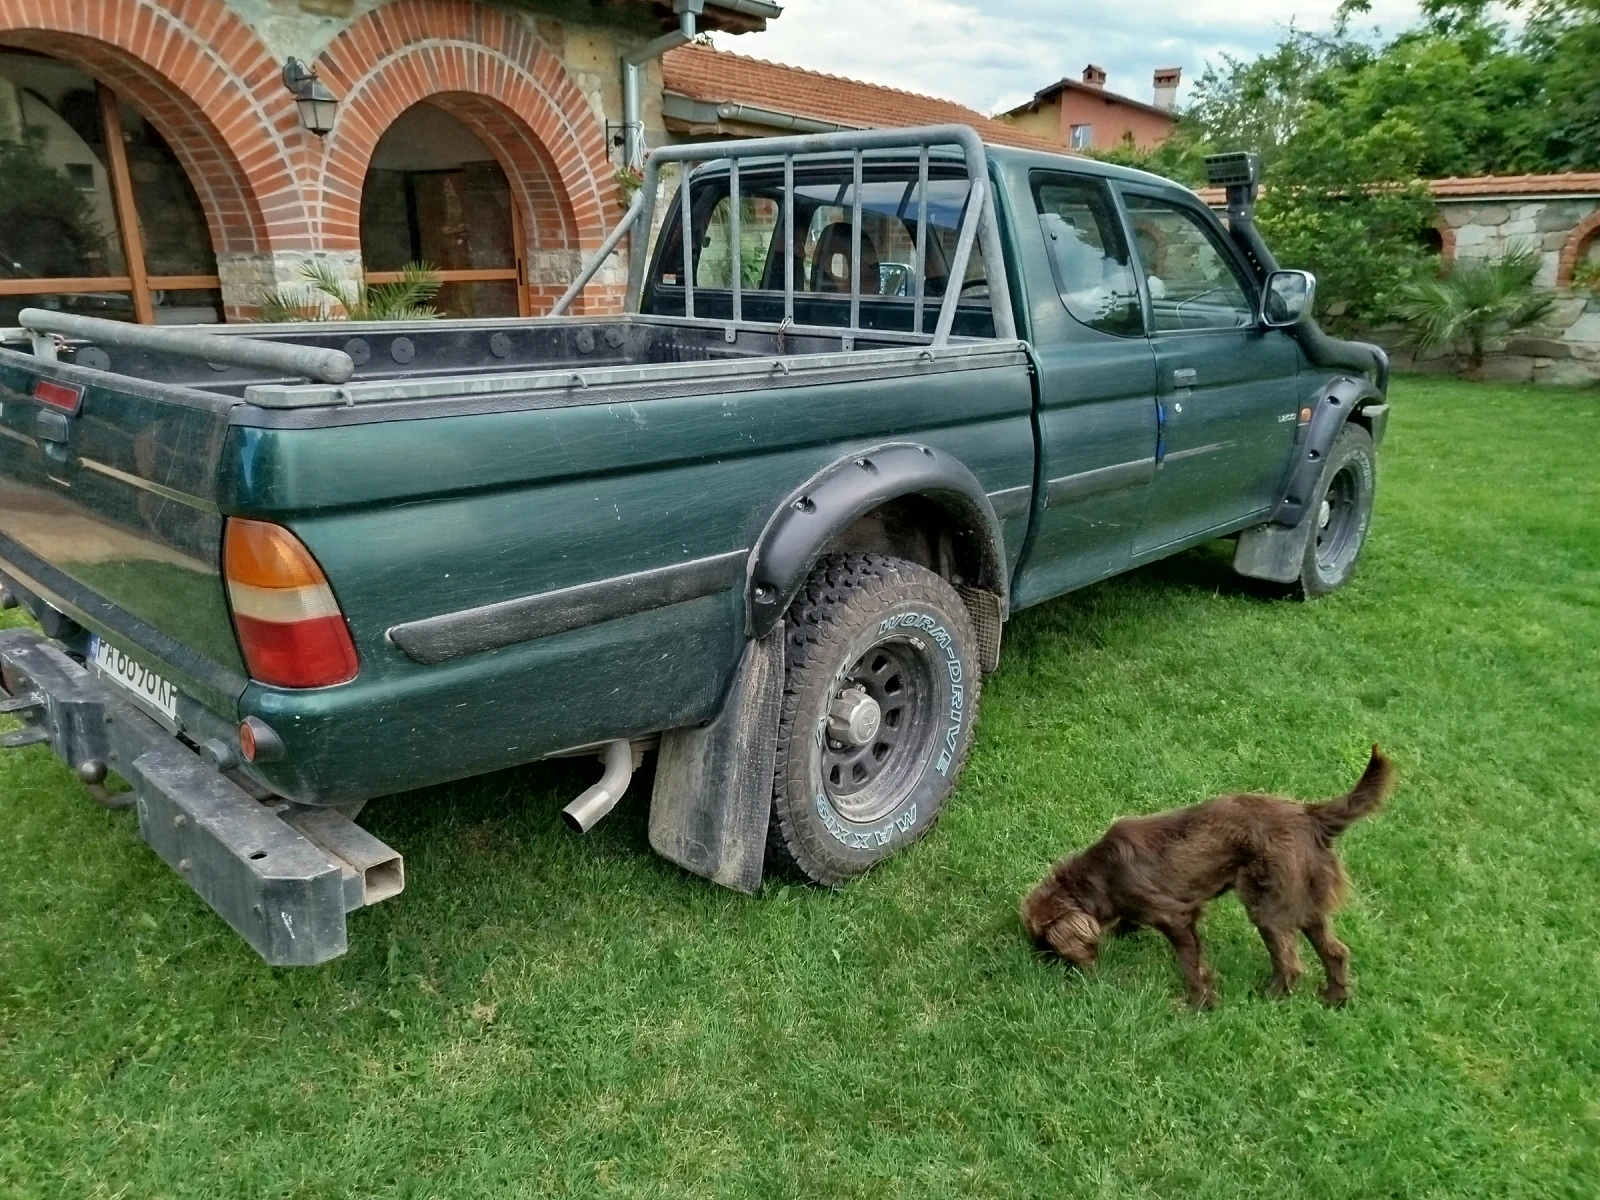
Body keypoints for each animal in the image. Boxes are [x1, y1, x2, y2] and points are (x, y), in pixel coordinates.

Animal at [1024, 748, 1388, 1011]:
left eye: (1047, 944)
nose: (1041, 965)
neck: (1098, 878)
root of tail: (1310, 815)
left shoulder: (1176, 916)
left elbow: (1190, 964)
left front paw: (1199, 1004)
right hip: (1304, 901)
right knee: (1336, 951)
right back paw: (1334, 999)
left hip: (1267, 906)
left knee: (1290, 964)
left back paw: (1268, 997)